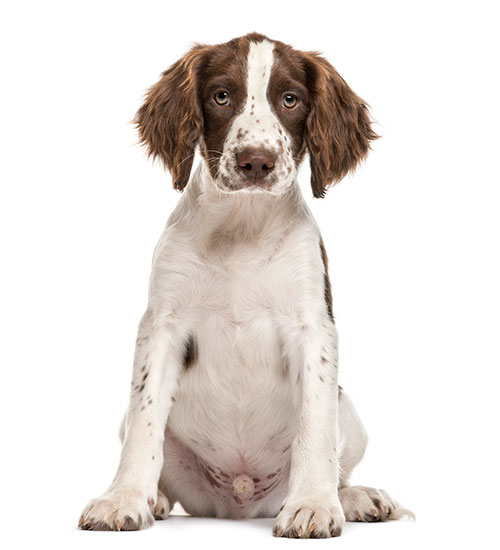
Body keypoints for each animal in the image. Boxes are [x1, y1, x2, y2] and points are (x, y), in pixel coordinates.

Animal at [78, 33, 412, 540]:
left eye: (290, 99)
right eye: (221, 96)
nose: (257, 162)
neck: (242, 226)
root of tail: (238, 499)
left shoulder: (313, 327)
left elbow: (315, 428)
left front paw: (313, 505)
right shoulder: (161, 325)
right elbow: (145, 420)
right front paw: (124, 499)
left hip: (350, 416)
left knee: (338, 459)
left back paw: (355, 497)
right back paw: (155, 498)